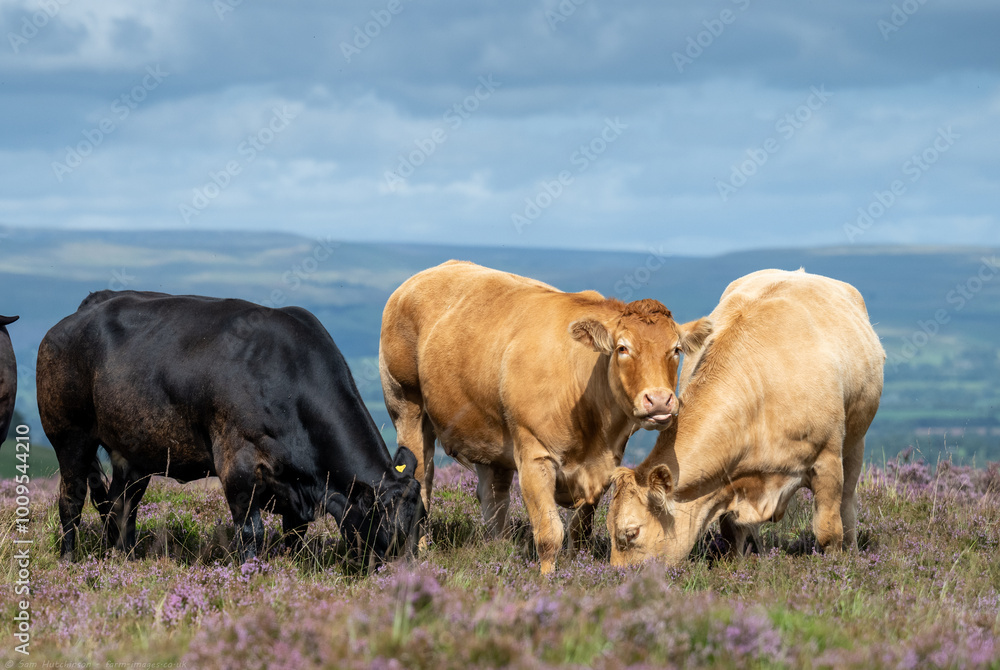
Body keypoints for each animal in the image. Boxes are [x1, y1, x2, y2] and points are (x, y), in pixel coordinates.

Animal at [37, 290, 425, 568]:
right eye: (390, 529)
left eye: (421, 519)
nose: (407, 577)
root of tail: (87, 307)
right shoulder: (238, 465)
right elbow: (251, 532)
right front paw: (249, 573)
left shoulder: (294, 488)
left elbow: (295, 534)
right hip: (70, 437)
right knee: (71, 500)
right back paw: (69, 560)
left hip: (133, 452)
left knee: (122, 505)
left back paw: (126, 557)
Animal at [379, 260, 712, 573]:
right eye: (622, 348)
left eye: (676, 349)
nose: (659, 400)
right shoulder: (534, 455)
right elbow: (550, 532)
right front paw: (547, 578)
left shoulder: (603, 465)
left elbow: (580, 529)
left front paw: (578, 564)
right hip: (406, 405)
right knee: (422, 478)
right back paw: (420, 547)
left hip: (488, 432)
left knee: (493, 494)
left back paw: (497, 545)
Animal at [607, 269, 885, 566]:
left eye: (631, 532)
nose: (617, 574)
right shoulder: (728, 481)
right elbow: (732, 532)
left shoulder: (827, 461)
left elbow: (828, 531)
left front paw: (836, 565)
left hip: (855, 441)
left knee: (848, 502)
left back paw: (852, 549)